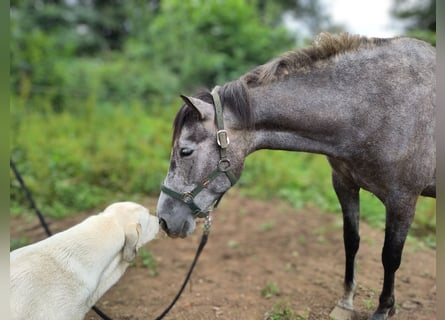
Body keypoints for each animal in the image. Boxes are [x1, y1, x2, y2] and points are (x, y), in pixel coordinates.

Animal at [156, 33, 434, 320]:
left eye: (185, 151)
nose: (163, 220)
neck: (373, 108)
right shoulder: (344, 184)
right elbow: (351, 241)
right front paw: (346, 302)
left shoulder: (402, 199)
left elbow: (391, 256)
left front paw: (383, 309)